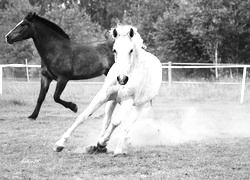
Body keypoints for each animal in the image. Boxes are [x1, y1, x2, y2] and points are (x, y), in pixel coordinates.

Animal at [53, 24, 162, 155]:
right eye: (114, 50)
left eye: (131, 50)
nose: (122, 79)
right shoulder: (103, 95)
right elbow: (84, 116)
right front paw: (59, 144)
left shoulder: (128, 101)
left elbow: (117, 122)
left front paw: (103, 142)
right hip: (112, 101)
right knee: (106, 121)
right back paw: (97, 146)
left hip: (140, 106)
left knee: (126, 126)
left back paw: (116, 149)